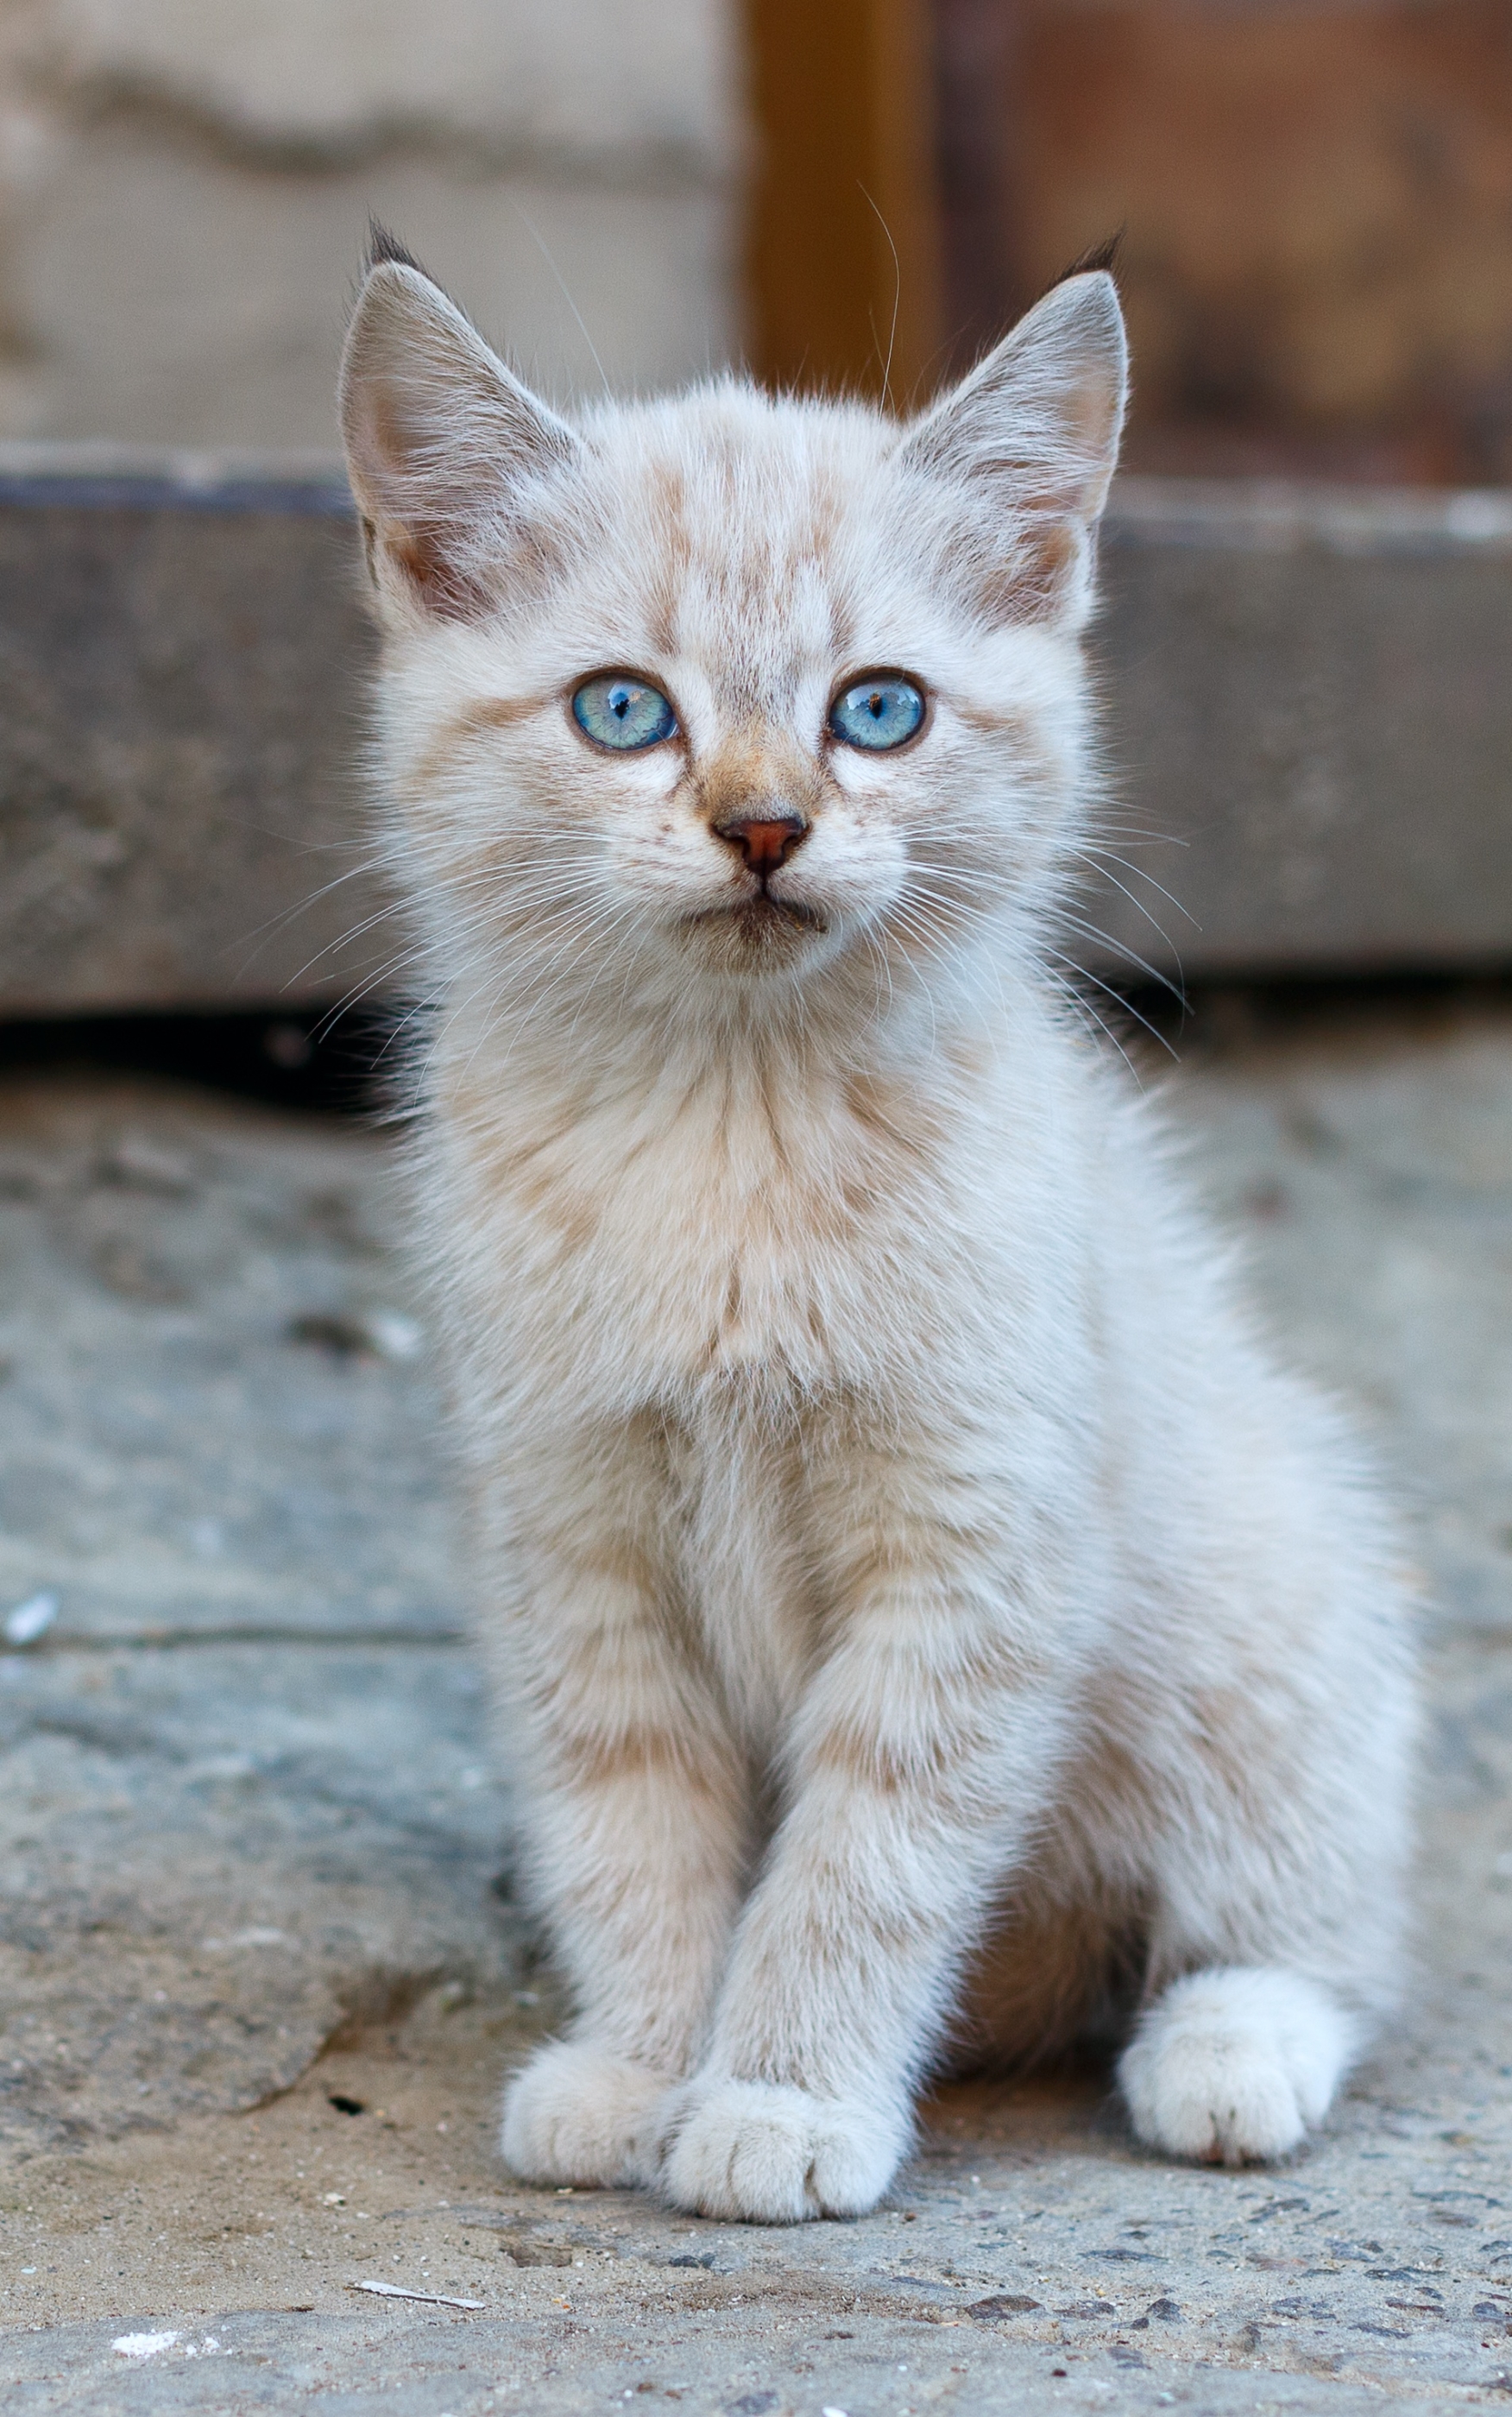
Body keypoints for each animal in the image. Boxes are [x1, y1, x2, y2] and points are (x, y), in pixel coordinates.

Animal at [336, 236, 1410, 2213]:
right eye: (624, 708)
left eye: (879, 708)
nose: (763, 826)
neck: (729, 1125)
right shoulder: (574, 1544)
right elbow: (633, 1827)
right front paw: (641, 2064)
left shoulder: (973, 1552)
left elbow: (862, 1857)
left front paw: (778, 2100)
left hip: (1271, 1621)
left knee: (1319, 1927)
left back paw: (1226, 2055)